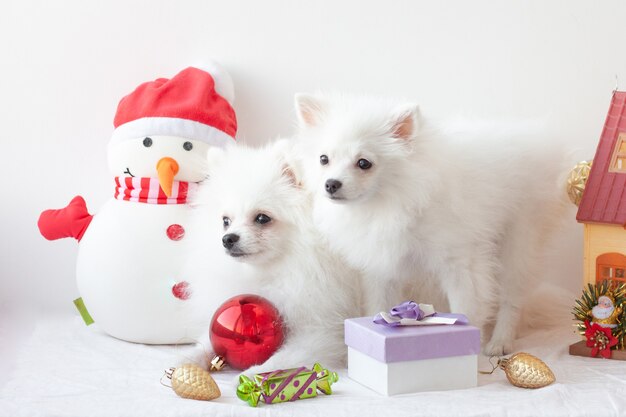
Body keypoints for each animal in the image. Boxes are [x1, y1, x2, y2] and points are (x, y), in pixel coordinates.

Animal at [190, 141, 360, 372]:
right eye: (225, 221)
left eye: (262, 218)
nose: (228, 239)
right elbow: (205, 343)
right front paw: (187, 361)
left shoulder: (322, 331)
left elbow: (283, 358)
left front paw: (255, 373)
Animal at [292, 93, 564, 354]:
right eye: (324, 159)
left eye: (364, 163)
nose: (331, 183)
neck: (392, 203)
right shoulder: (382, 268)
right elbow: (378, 305)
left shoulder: (460, 262)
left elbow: (466, 308)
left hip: (519, 238)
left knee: (512, 296)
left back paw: (501, 341)